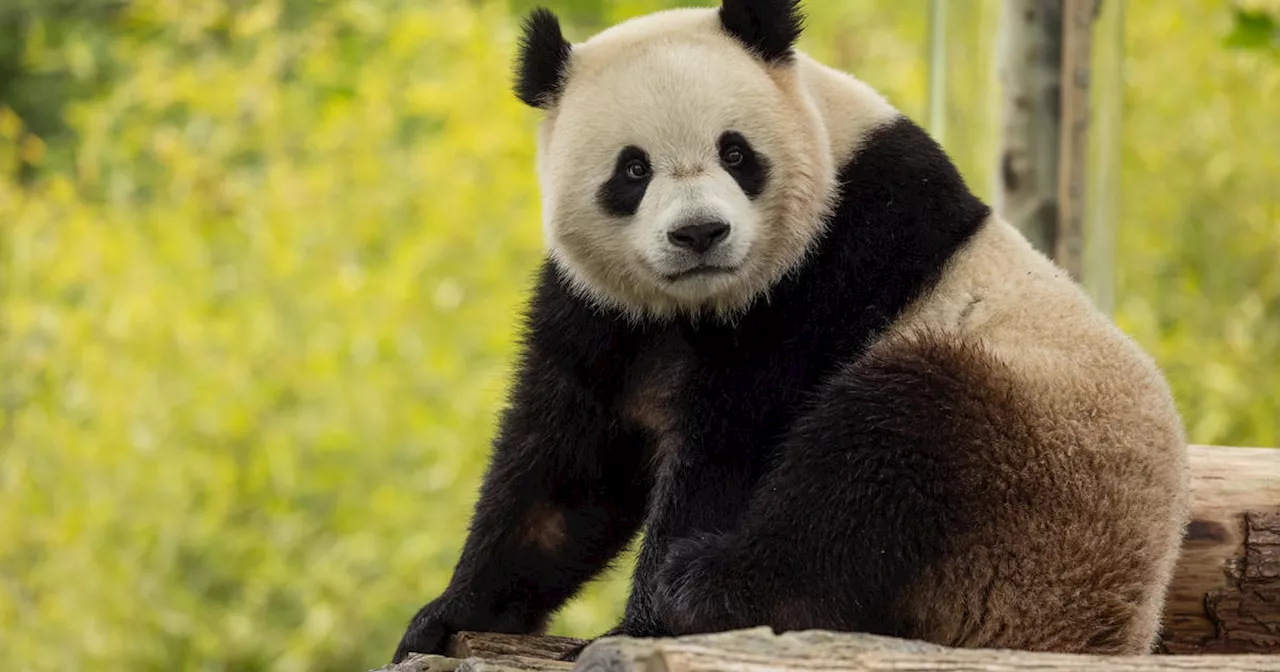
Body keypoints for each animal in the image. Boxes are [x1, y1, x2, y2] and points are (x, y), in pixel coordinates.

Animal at [386, 0, 1187, 660]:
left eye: (736, 152)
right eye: (632, 170)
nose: (700, 234)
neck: (701, 305)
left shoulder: (832, 266)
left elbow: (733, 447)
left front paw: (638, 626)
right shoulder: (605, 312)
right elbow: (566, 468)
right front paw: (446, 616)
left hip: (1032, 475)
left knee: (884, 453)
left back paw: (707, 588)